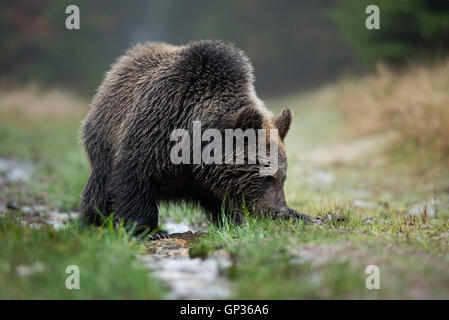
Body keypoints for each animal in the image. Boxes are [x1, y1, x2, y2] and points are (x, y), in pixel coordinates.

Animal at [80, 40, 310, 239]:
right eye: (266, 176)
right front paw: (150, 231)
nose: (279, 212)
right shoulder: (155, 131)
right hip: (103, 141)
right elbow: (134, 178)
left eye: (283, 176)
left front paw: (299, 214)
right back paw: (92, 222)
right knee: (100, 190)